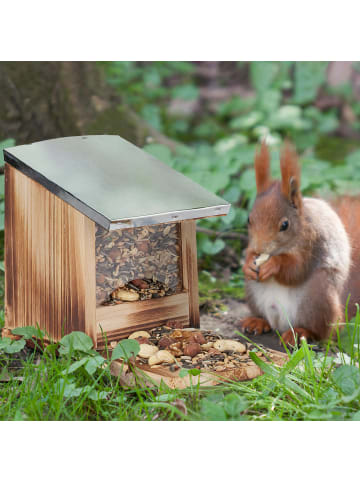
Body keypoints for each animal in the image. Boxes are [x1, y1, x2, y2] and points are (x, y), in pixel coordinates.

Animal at [240, 141, 358, 344]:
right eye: (248, 219)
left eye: (285, 225)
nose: (260, 248)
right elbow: (249, 253)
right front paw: (248, 263)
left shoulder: (312, 243)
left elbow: (296, 269)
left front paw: (273, 264)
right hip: (252, 292)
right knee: (265, 318)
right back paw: (257, 322)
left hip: (318, 295)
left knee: (321, 332)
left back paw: (300, 332)